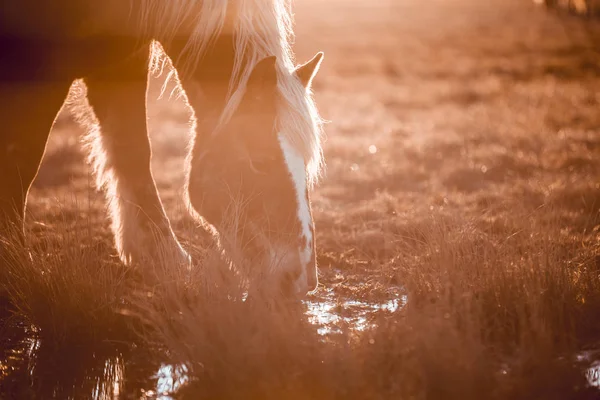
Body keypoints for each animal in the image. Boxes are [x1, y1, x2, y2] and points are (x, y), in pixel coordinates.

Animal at [0, 0, 324, 296]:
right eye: (260, 160)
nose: (301, 279)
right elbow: (22, 158)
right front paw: (14, 264)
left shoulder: (123, 62)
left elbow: (133, 148)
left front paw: (160, 254)